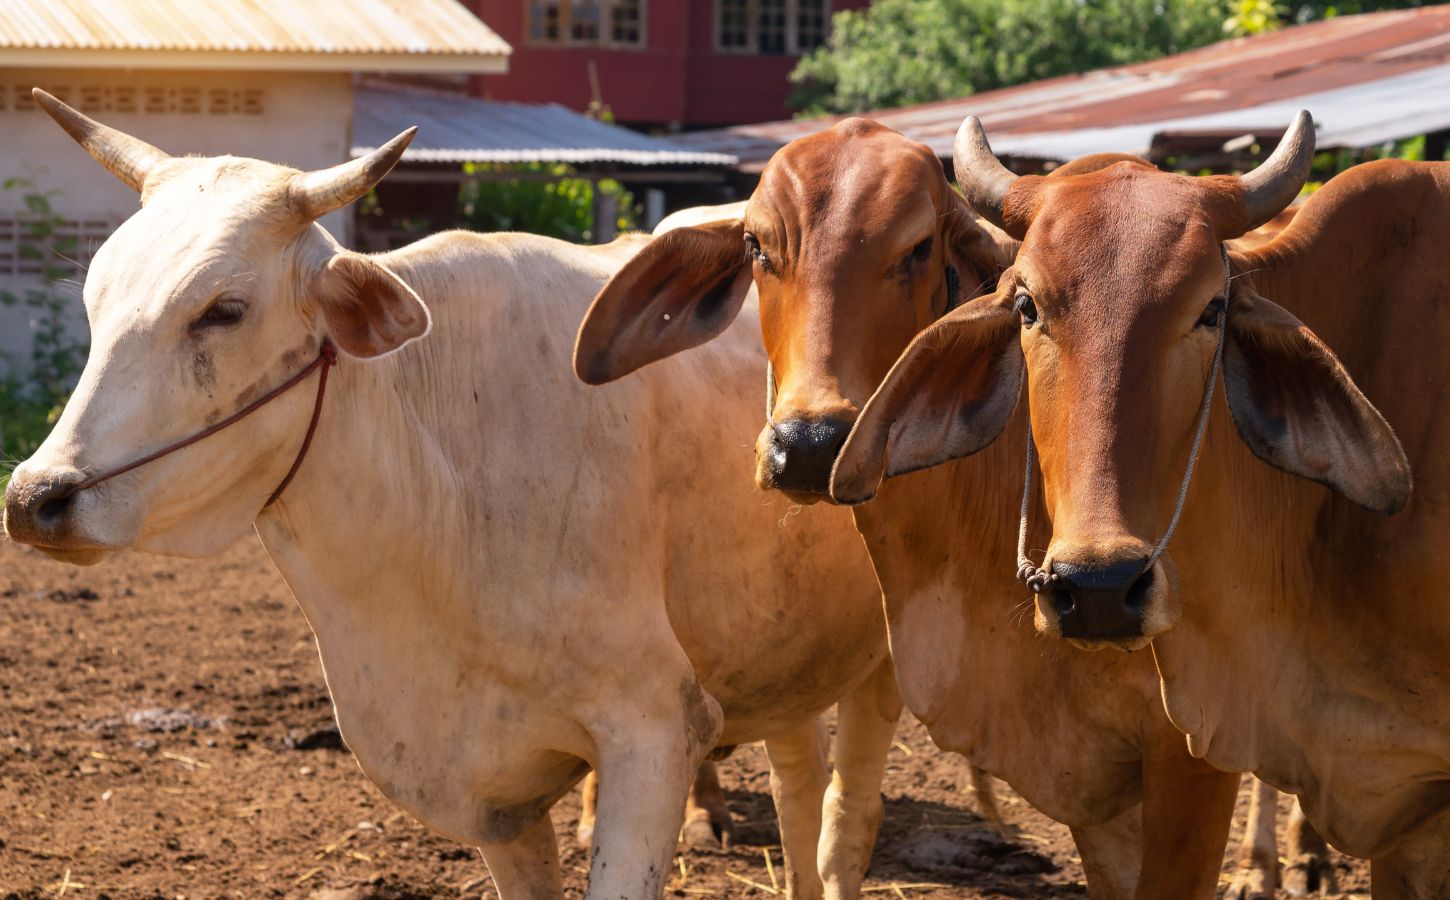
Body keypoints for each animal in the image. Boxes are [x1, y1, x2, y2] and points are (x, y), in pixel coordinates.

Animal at [1, 92, 901, 900]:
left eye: (223, 310)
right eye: (96, 301)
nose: (35, 496)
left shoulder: (653, 733)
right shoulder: (489, 798)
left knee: (838, 819)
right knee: (797, 788)